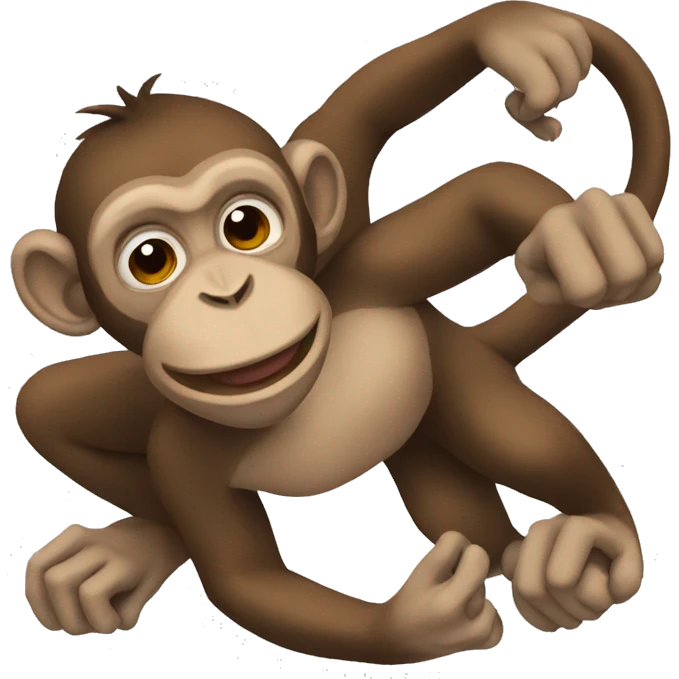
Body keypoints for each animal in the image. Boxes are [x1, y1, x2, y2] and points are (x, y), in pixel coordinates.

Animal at [13, 1, 667, 665]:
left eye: (245, 226)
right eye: (151, 260)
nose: (228, 292)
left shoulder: (367, 274)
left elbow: (467, 189)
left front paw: (577, 231)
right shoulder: (180, 454)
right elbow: (246, 578)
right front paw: (416, 624)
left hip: (446, 368)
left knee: (505, 428)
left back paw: (593, 535)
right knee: (47, 405)